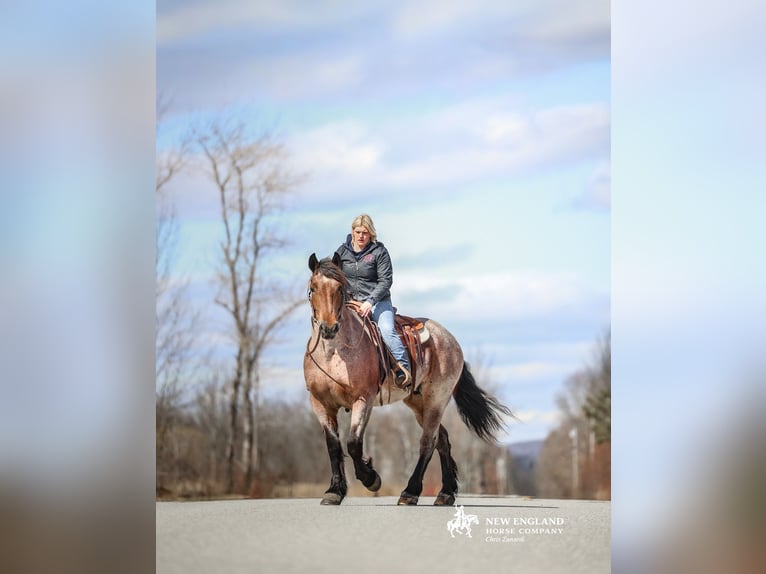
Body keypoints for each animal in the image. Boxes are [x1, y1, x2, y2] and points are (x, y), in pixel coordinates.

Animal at [304, 252, 512, 506]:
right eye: (313, 288)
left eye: (340, 289)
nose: (329, 328)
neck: (334, 353)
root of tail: (450, 339)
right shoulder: (320, 403)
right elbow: (333, 446)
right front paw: (334, 491)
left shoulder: (363, 399)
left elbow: (353, 444)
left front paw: (371, 479)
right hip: (418, 403)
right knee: (441, 439)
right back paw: (445, 493)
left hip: (436, 401)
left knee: (428, 442)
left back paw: (410, 492)